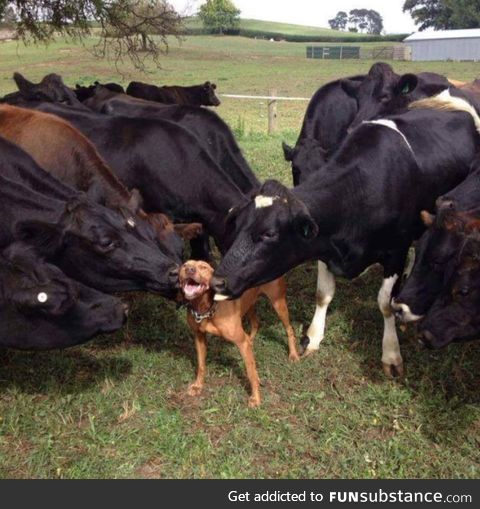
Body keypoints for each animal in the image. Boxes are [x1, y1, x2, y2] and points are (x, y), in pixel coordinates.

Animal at [180, 260, 300, 406]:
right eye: (185, 265)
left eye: (204, 267)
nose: (189, 270)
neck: (206, 308)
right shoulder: (199, 337)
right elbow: (201, 365)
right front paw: (198, 386)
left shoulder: (241, 342)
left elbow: (250, 372)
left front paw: (256, 398)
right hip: (249, 304)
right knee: (256, 323)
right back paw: (252, 341)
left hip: (278, 303)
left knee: (289, 329)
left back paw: (293, 355)